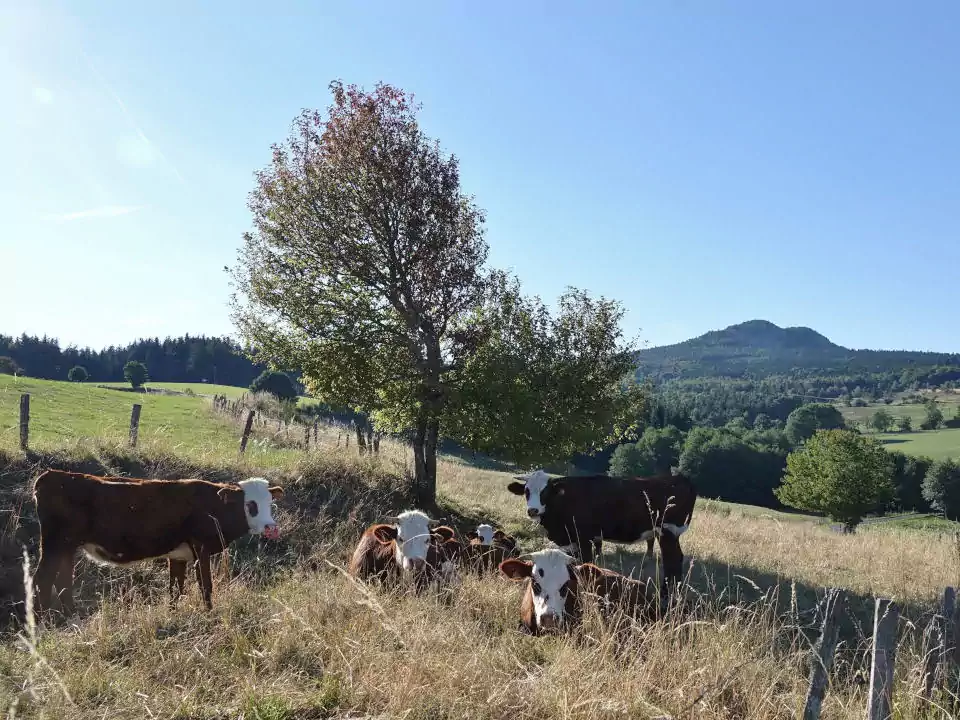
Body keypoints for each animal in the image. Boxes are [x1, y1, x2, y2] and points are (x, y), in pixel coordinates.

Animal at [31, 470, 284, 614]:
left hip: (67, 546)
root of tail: (52, 474)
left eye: (270, 502)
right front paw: (210, 614)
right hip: (54, 544)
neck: (214, 506)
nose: (270, 527)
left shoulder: (179, 555)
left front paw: (172, 614)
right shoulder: (201, 548)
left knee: (63, 581)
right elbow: (206, 586)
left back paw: (70, 616)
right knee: (43, 579)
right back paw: (43, 621)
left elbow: (176, 589)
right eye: (250, 504)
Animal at [506, 470, 696, 590]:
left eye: (545, 492)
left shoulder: (584, 539)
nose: (533, 510)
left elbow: (586, 564)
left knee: (672, 560)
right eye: (526, 491)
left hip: (668, 532)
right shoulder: (572, 542)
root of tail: (679, 478)